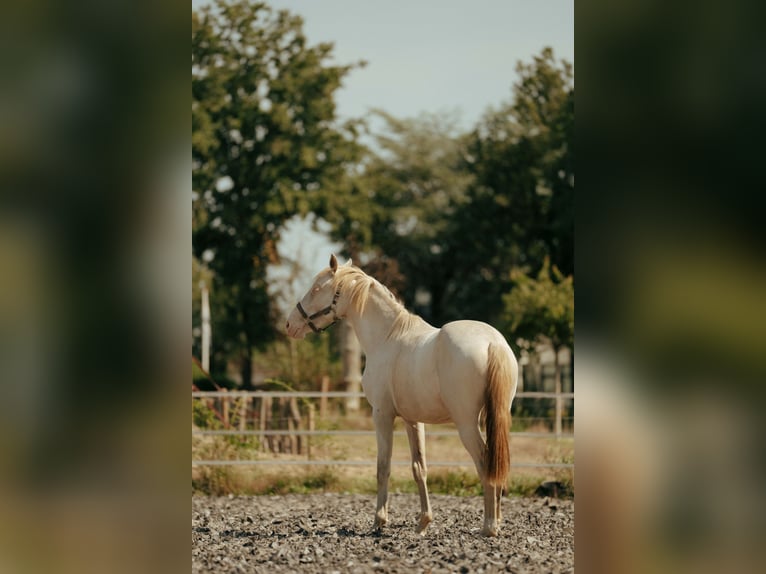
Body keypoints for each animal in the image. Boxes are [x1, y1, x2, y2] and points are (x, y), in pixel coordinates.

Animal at [288, 254, 520, 536]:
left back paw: (488, 526)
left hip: (466, 423)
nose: (290, 325)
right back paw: (496, 520)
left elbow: (383, 466)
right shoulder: (413, 420)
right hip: (496, 417)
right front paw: (423, 522)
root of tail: (491, 342)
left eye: (316, 289)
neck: (388, 337)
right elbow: (419, 468)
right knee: (498, 462)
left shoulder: (382, 415)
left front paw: (379, 521)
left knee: (486, 462)